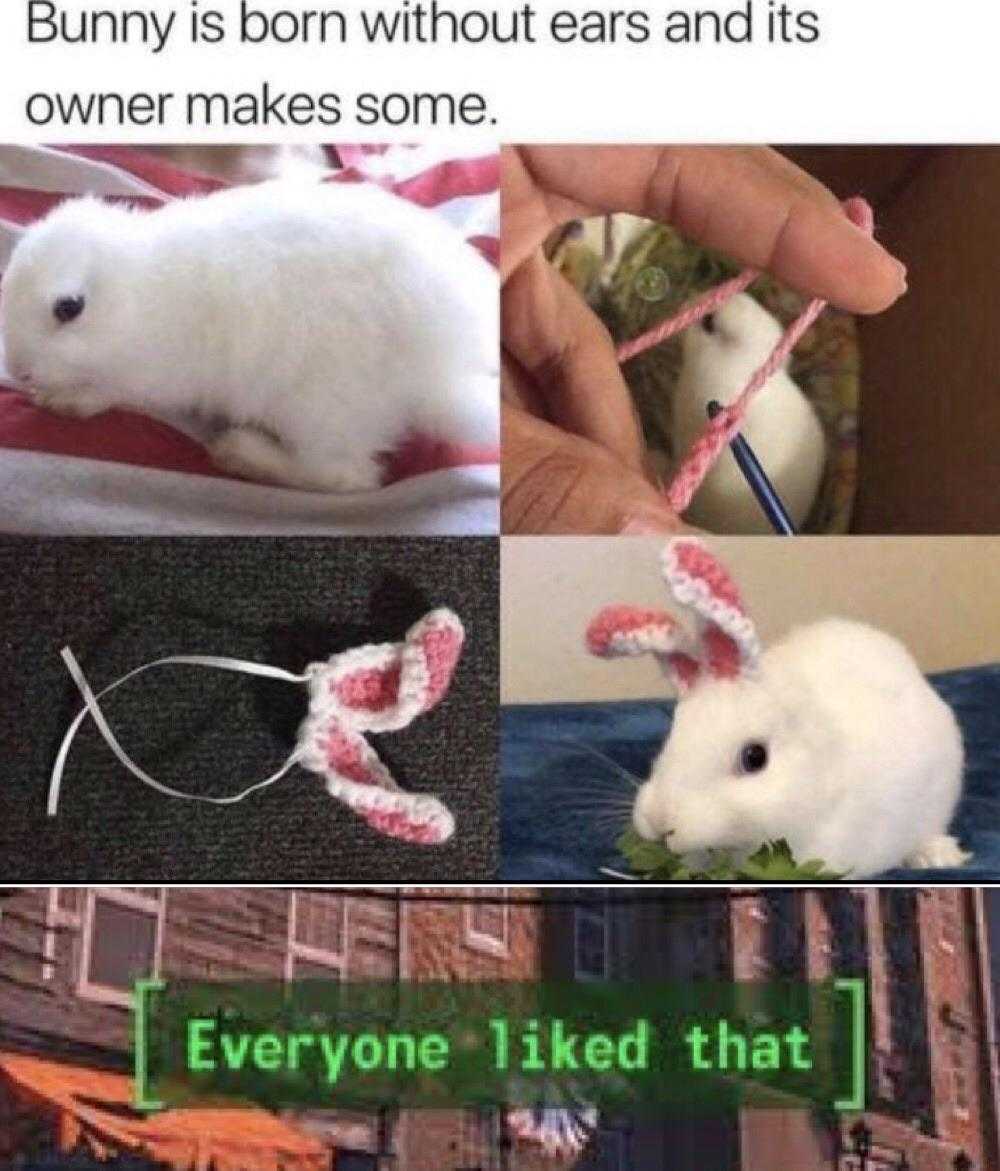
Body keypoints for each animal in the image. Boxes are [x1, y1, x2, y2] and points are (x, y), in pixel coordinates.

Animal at [0, 180, 501, 491]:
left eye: (69, 307)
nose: (18, 370)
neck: (135, 292)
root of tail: (440, 377)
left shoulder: (152, 376)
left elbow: (110, 392)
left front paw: (62, 402)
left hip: (316, 408)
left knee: (343, 476)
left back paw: (240, 452)